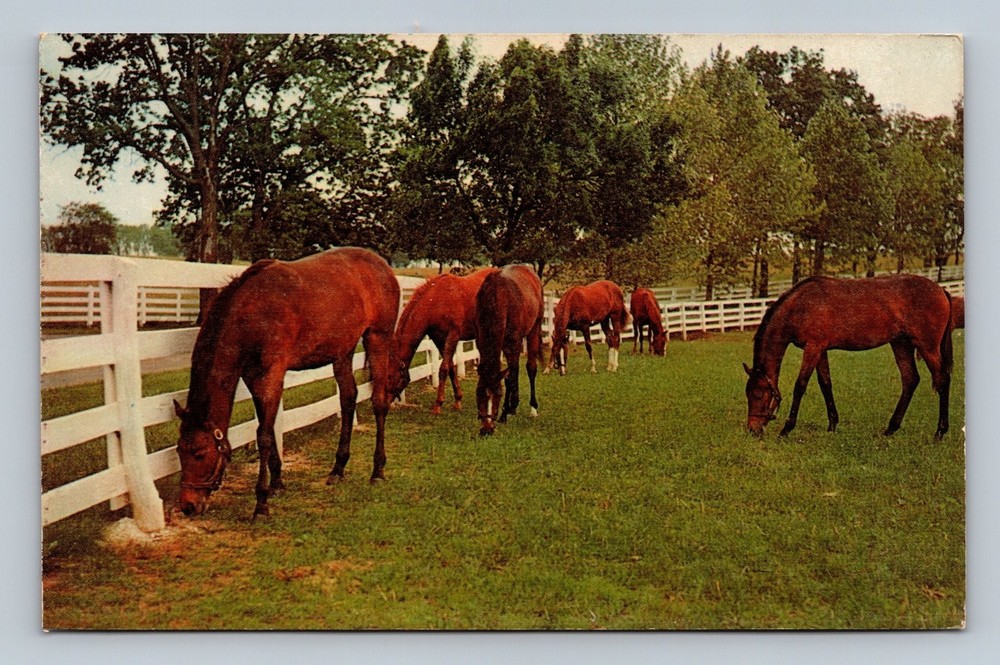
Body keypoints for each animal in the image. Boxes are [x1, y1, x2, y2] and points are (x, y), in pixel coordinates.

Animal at [173, 247, 401, 520]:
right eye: (179, 451)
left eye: (199, 453)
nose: (188, 506)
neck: (252, 312)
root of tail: (383, 266)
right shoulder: (253, 378)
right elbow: (269, 428)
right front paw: (277, 483)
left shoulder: (271, 375)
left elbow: (263, 435)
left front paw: (261, 502)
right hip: (342, 353)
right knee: (348, 399)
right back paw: (338, 468)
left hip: (378, 339)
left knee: (379, 402)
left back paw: (377, 470)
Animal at [389, 268, 498, 413]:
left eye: (390, 377)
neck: (437, 301)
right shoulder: (439, 339)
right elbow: (451, 367)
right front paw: (458, 400)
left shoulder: (453, 336)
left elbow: (443, 369)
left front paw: (438, 405)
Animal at [475, 265, 544, 436]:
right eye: (479, 393)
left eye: (498, 395)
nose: (487, 430)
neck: (498, 297)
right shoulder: (481, 341)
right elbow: (508, 376)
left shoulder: (512, 343)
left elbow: (511, 377)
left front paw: (506, 411)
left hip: (534, 329)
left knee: (529, 368)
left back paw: (532, 408)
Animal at [743, 274, 954, 439]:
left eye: (758, 394)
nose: (752, 429)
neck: (800, 306)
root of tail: (941, 290)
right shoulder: (820, 350)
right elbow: (825, 384)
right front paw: (832, 425)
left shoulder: (812, 348)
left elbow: (800, 386)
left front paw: (787, 429)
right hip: (901, 344)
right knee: (910, 380)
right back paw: (890, 429)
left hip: (927, 347)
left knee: (942, 379)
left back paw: (940, 431)